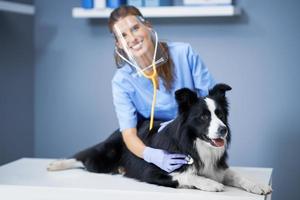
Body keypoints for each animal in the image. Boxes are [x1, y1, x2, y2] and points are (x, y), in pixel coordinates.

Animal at [47, 83, 272, 195]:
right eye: (203, 117)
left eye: (221, 115)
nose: (223, 130)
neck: (195, 145)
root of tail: (124, 129)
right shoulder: (152, 172)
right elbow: (186, 175)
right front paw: (209, 184)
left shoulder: (217, 167)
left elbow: (237, 175)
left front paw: (257, 186)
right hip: (104, 156)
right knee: (84, 159)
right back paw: (56, 164)